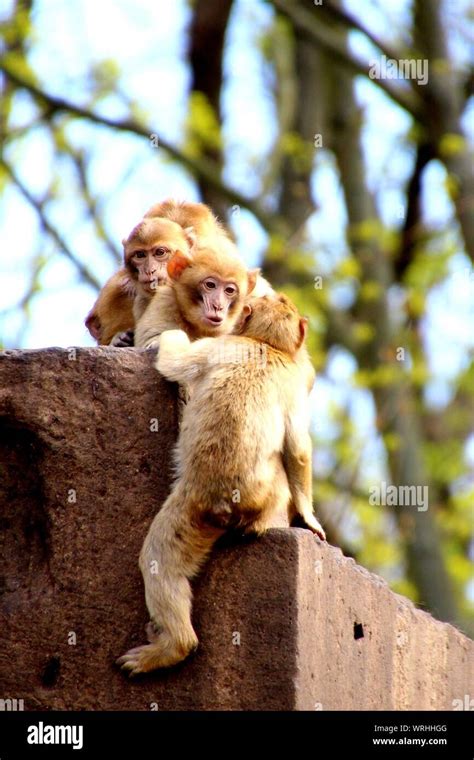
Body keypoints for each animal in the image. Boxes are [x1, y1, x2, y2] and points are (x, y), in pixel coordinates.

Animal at [117, 292, 326, 676]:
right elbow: (299, 448)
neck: (263, 344)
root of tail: (221, 500)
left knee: (158, 560)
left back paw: (174, 645)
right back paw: (175, 646)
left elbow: (298, 448)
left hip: (195, 508)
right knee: (160, 560)